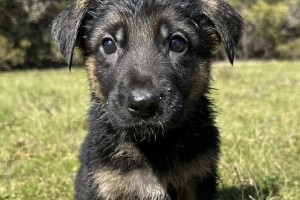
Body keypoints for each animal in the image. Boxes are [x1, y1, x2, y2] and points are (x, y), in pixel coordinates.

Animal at [52, 0, 244, 198]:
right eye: (108, 44)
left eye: (177, 43)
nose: (142, 104)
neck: (152, 146)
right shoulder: (106, 182)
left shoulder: (197, 176)